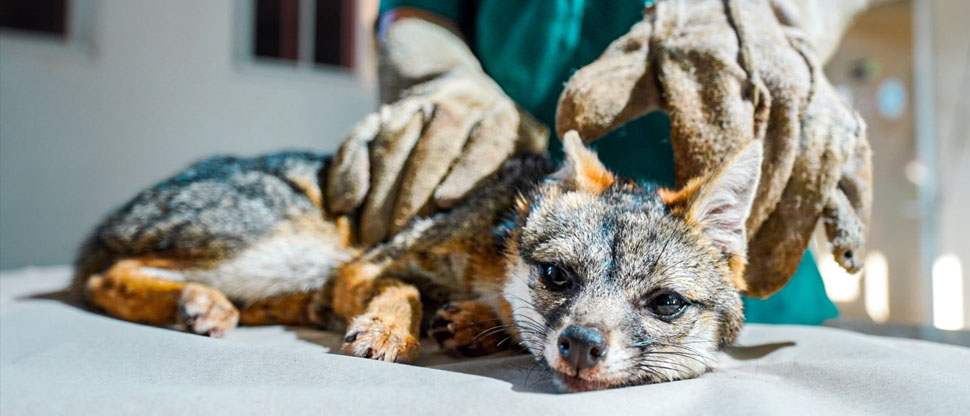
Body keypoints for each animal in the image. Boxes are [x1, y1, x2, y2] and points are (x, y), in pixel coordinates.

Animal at [75, 131, 763, 392]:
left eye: (665, 304)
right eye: (557, 276)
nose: (581, 345)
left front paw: (467, 325)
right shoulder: (367, 265)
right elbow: (402, 289)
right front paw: (388, 328)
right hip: (297, 244)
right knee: (101, 278)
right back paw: (199, 303)